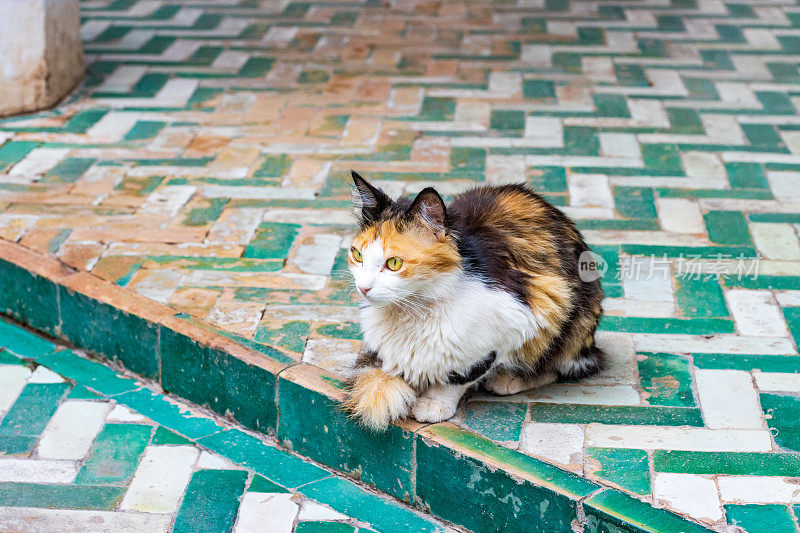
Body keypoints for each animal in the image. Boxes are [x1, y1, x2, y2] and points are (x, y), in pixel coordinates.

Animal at [340, 172, 604, 430]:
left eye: (394, 263)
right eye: (358, 255)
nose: (363, 288)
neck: (411, 311)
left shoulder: (524, 314)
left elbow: (458, 377)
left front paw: (434, 403)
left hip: (571, 322)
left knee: (561, 366)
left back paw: (509, 379)